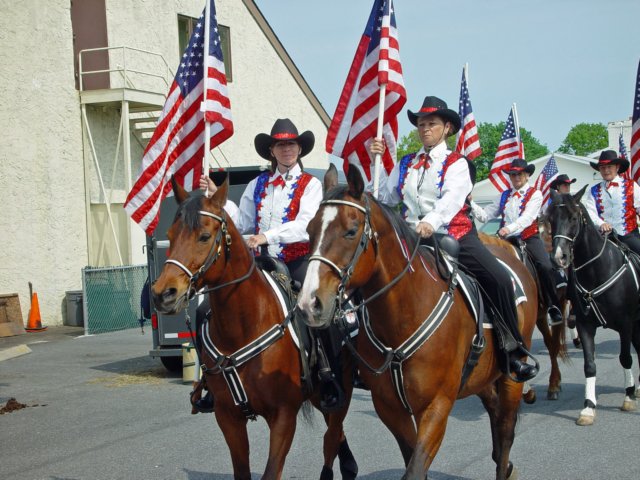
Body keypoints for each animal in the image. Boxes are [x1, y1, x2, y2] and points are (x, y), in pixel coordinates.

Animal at [152, 180, 358, 480]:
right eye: (170, 234)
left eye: (204, 236)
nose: (163, 294)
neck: (243, 328)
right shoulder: (228, 418)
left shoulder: (283, 416)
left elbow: (271, 471)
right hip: (318, 395)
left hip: (340, 392)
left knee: (332, 435)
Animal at [298, 166, 536, 480]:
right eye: (310, 231)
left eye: (350, 231)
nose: (309, 303)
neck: (404, 317)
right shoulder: (390, 408)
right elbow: (413, 460)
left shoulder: (437, 406)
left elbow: (415, 467)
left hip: (512, 377)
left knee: (506, 429)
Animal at [544, 187, 640, 424]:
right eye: (551, 219)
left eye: (573, 217)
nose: (558, 257)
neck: (598, 270)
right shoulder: (585, 325)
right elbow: (589, 365)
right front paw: (588, 407)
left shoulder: (625, 324)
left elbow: (625, 358)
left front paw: (628, 396)